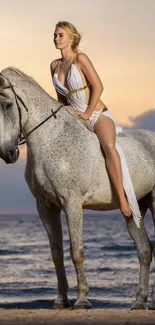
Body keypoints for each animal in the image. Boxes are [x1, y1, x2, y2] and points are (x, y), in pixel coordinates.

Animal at [0, 67, 154, 308]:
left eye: (7, 105)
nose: (7, 153)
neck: (51, 138)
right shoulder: (46, 207)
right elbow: (57, 254)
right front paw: (61, 300)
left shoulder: (72, 204)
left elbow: (76, 251)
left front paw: (82, 299)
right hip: (134, 209)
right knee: (145, 250)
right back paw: (138, 302)